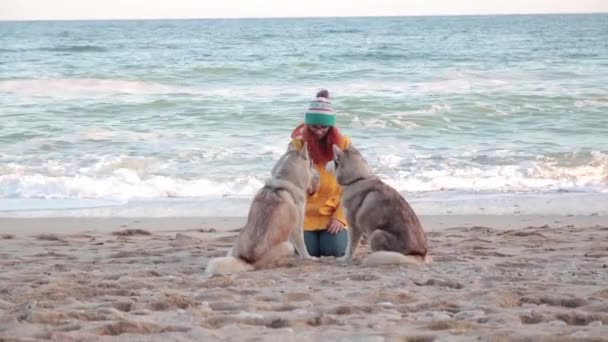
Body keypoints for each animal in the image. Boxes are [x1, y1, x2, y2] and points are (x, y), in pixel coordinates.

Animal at [204, 142, 318, 276]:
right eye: (311, 163)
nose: (318, 174)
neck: (283, 180)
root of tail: (247, 261)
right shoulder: (297, 229)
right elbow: (303, 247)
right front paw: (309, 257)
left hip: (233, 248)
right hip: (288, 246)